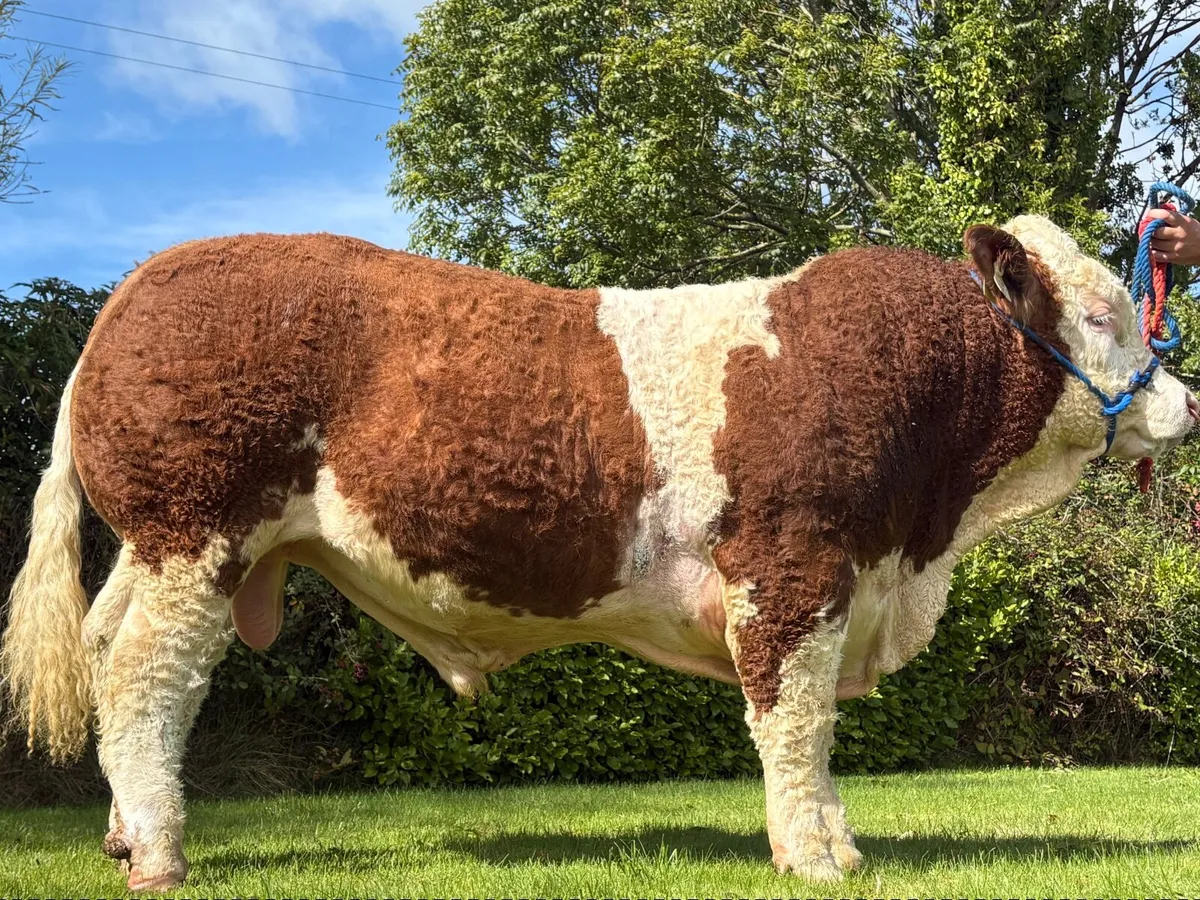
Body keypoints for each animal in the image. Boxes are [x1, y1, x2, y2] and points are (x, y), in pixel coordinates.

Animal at [1, 215, 1195, 890]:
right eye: (1101, 313)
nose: (1183, 399)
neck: (922, 544)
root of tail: (138, 286)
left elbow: (810, 732)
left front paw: (833, 845)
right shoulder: (794, 568)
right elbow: (795, 723)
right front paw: (814, 858)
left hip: (159, 547)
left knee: (110, 657)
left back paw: (121, 838)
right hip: (192, 531)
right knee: (145, 682)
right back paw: (159, 856)